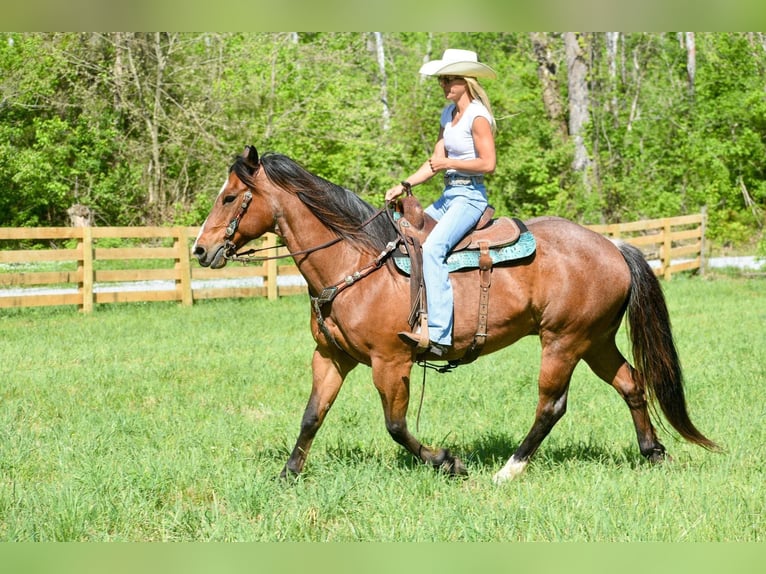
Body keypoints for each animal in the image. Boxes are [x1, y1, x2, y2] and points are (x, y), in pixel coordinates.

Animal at [194, 145, 720, 486]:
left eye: (228, 197)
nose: (200, 249)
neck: (353, 263)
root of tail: (613, 246)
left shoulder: (391, 364)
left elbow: (397, 426)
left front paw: (448, 461)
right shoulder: (330, 359)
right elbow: (311, 416)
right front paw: (287, 475)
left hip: (563, 342)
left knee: (551, 405)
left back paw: (509, 470)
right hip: (595, 341)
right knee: (632, 383)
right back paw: (653, 453)